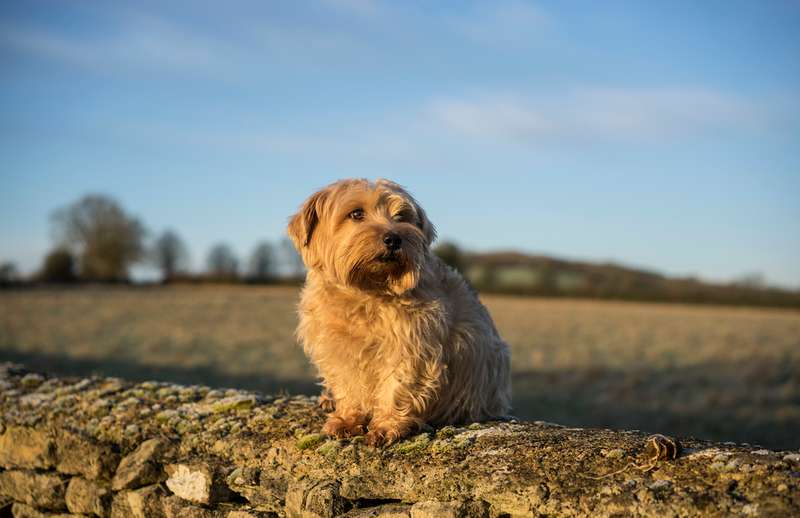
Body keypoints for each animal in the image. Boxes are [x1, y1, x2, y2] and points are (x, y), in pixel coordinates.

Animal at [288, 180, 512, 446]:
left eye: (401, 216)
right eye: (356, 213)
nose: (393, 238)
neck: (366, 292)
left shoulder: (412, 345)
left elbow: (398, 385)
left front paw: (387, 425)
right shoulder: (336, 348)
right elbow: (349, 387)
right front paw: (347, 419)